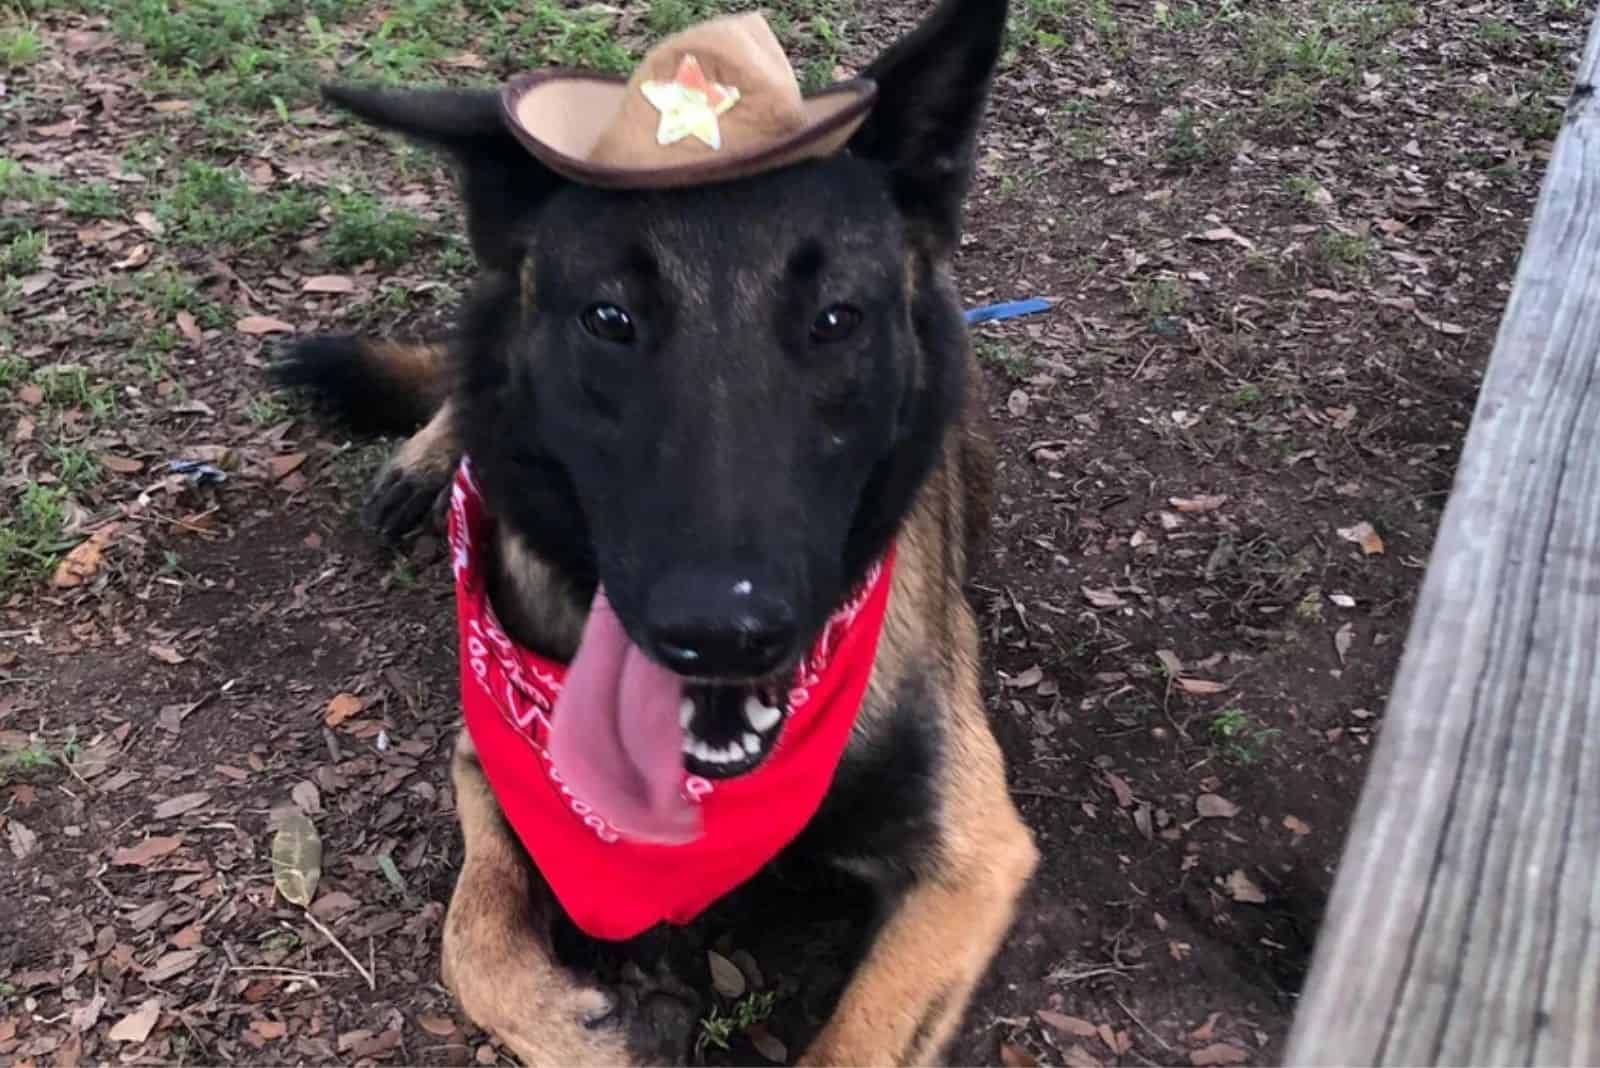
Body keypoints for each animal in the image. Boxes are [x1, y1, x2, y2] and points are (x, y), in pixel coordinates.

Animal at [273, 0, 1036, 1061]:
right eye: (609, 319)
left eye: (836, 318)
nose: (722, 631)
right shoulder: (484, 758)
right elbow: (473, 943)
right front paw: (582, 1026)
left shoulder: (971, 859)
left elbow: (854, 1041)